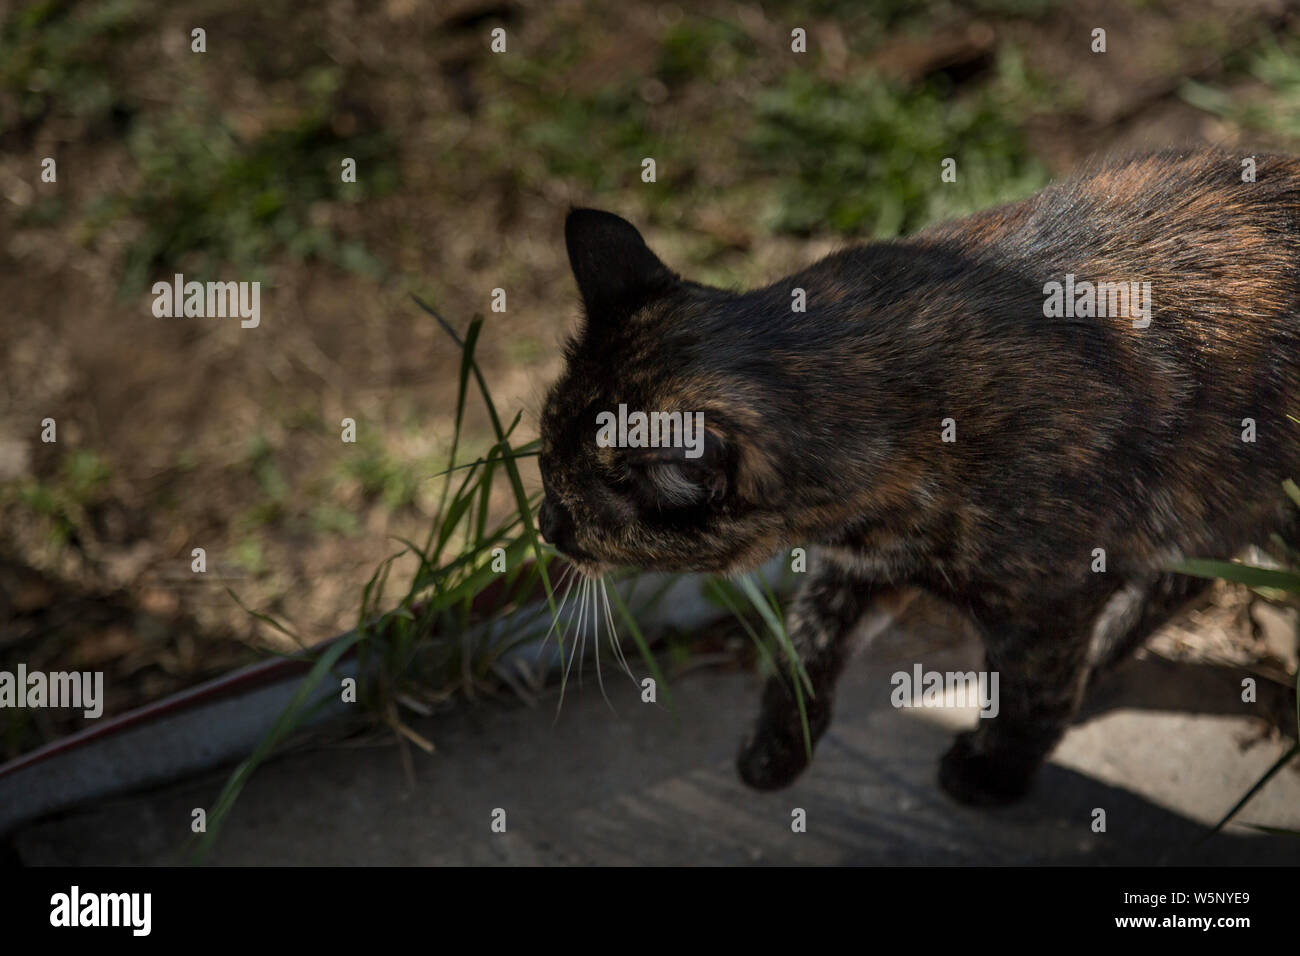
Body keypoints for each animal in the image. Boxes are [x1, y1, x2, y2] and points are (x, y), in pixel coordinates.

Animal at [533, 151, 1294, 806]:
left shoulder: (1054, 599)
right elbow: (804, 645)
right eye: (541, 462)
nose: (542, 525)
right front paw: (777, 749)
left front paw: (991, 772)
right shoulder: (858, 561)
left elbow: (1031, 691)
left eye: (575, 513)